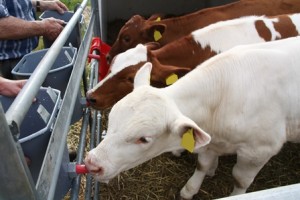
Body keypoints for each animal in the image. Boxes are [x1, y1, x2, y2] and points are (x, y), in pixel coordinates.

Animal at [83, 36, 300, 199]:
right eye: (111, 120)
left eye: (144, 139)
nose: (92, 163)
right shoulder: (210, 140)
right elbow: (202, 164)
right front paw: (190, 189)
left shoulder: (259, 151)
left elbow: (240, 179)